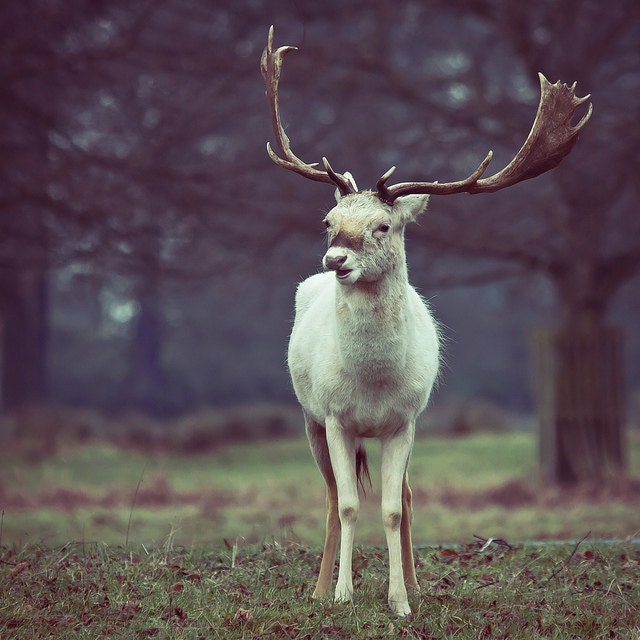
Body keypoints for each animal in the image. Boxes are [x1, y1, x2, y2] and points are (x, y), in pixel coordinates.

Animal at [261, 26, 591, 616]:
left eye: (384, 226)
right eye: (329, 220)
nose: (334, 259)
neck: (371, 386)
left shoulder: (405, 421)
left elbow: (393, 508)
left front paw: (400, 601)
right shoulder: (337, 417)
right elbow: (350, 504)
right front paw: (344, 594)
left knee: (407, 496)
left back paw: (413, 581)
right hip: (308, 417)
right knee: (331, 495)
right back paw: (319, 589)